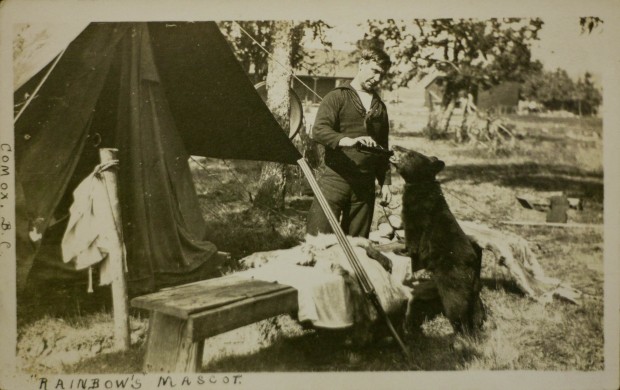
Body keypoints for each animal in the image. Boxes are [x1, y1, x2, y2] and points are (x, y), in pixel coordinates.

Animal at [392, 146, 484, 336]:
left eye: (410, 153)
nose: (395, 146)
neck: (420, 185)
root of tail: (471, 267)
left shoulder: (416, 214)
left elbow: (413, 236)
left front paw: (401, 250)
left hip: (452, 281)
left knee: (457, 306)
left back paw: (459, 333)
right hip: (474, 289)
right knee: (476, 308)